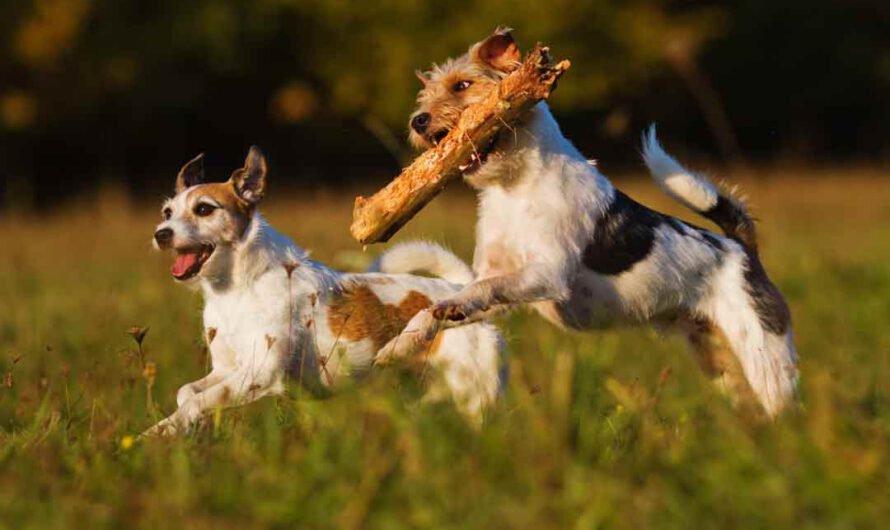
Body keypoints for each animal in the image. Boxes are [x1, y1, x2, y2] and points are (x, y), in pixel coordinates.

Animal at [146, 145, 506, 434]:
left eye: (204, 209)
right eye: (167, 212)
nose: (161, 233)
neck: (236, 288)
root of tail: (458, 287)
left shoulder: (260, 372)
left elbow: (197, 401)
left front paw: (158, 433)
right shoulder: (228, 369)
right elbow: (187, 393)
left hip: (472, 396)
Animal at [382, 27, 796, 416]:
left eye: (462, 85)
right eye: (425, 95)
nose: (418, 121)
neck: (513, 187)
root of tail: (742, 248)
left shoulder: (548, 274)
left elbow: (479, 289)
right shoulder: (502, 286)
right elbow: (440, 306)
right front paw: (400, 344)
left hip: (765, 357)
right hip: (720, 361)